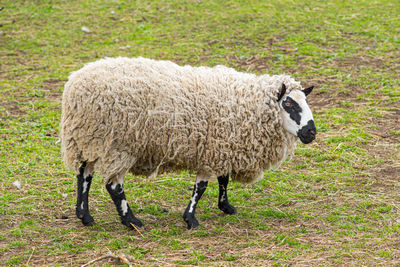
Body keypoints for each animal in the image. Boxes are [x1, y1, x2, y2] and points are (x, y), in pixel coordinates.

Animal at [60, 57, 316, 231]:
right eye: (289, 104)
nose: (311, 132)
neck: (246, 104)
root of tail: (74, 84)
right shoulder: (211, 150)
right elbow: (201, 187)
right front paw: (190, 219)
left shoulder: (221, 147)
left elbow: (223, 179)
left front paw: (226, 207)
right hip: (117, 145)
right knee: (113, 186)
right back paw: (131, 220)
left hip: (92, 141)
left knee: (84, 174)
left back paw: (85, 216)